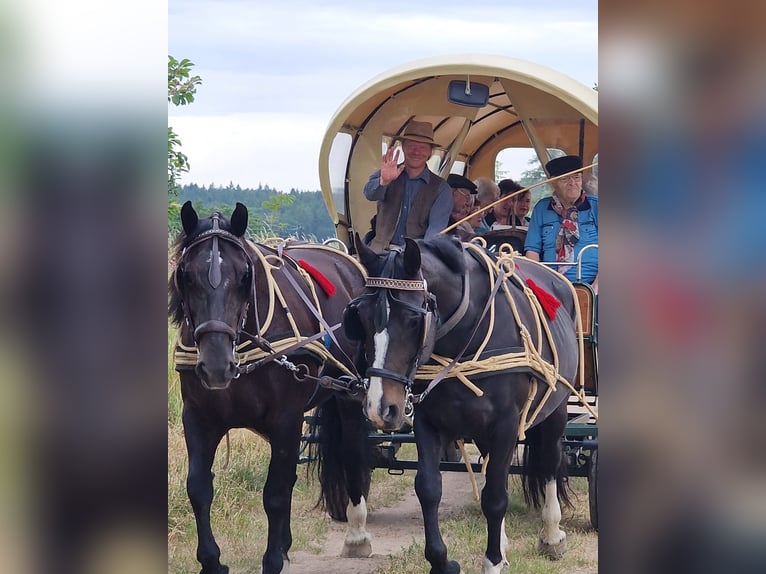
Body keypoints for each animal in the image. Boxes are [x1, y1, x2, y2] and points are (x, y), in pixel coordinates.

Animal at [172, 204, 378, 574]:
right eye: (186, 275)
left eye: (244, 276)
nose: (216, 366)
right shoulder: (198, 417)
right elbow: (198, 487)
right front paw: (212, 560)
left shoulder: (286, 417)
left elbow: (275, 493)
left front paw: (270, 560)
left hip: (352, 390)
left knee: (352, 450)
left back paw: (357, 535)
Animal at [344, 236, 584, 574]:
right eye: (361, 318)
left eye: (414, 320)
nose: (380, 408)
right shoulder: (428, 422)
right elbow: (429, 488)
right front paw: (442, 560)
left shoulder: (506, 423)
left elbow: (495, 497)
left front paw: (492, 561)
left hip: (555, 410)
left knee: (549, 461)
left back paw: (551, 535)